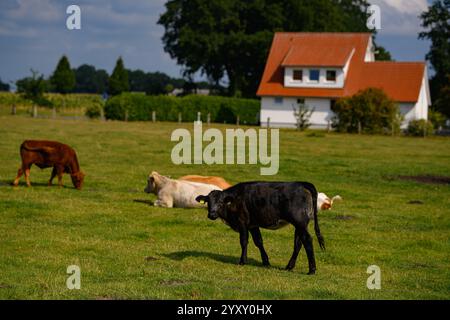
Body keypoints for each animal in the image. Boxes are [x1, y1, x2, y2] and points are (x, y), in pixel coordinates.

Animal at [195, 181, 326, 274]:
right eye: (208, 202)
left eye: (221, 202)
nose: (211, 214)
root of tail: (302, 183)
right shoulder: (253, 225)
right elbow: (259, 241)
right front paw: (266, 261)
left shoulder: (242, 222)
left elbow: (244, 241)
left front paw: (242, 261)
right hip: (300, 224)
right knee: (298, 243)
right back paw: (289, 266)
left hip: (299, 222)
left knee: (307, 240)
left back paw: (312, 270)